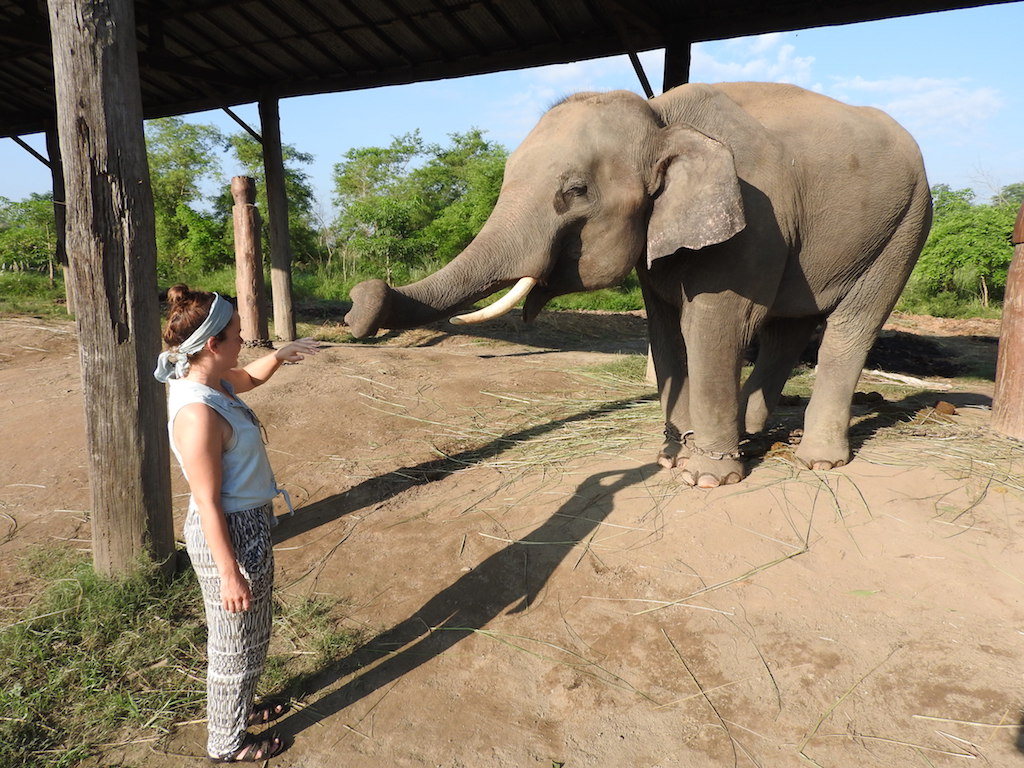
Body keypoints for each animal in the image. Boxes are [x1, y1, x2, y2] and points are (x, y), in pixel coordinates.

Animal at [348, 82, 933, 487]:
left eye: (576, 191)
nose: (357, 302)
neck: (661, 119)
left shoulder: (753, 221)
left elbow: (713, 324)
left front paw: (705, 479)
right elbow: (664, 326)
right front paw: (669, 458)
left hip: (906, 226)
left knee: (850, 327)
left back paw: (819, 462)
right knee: (788, 330)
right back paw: (751, 435)